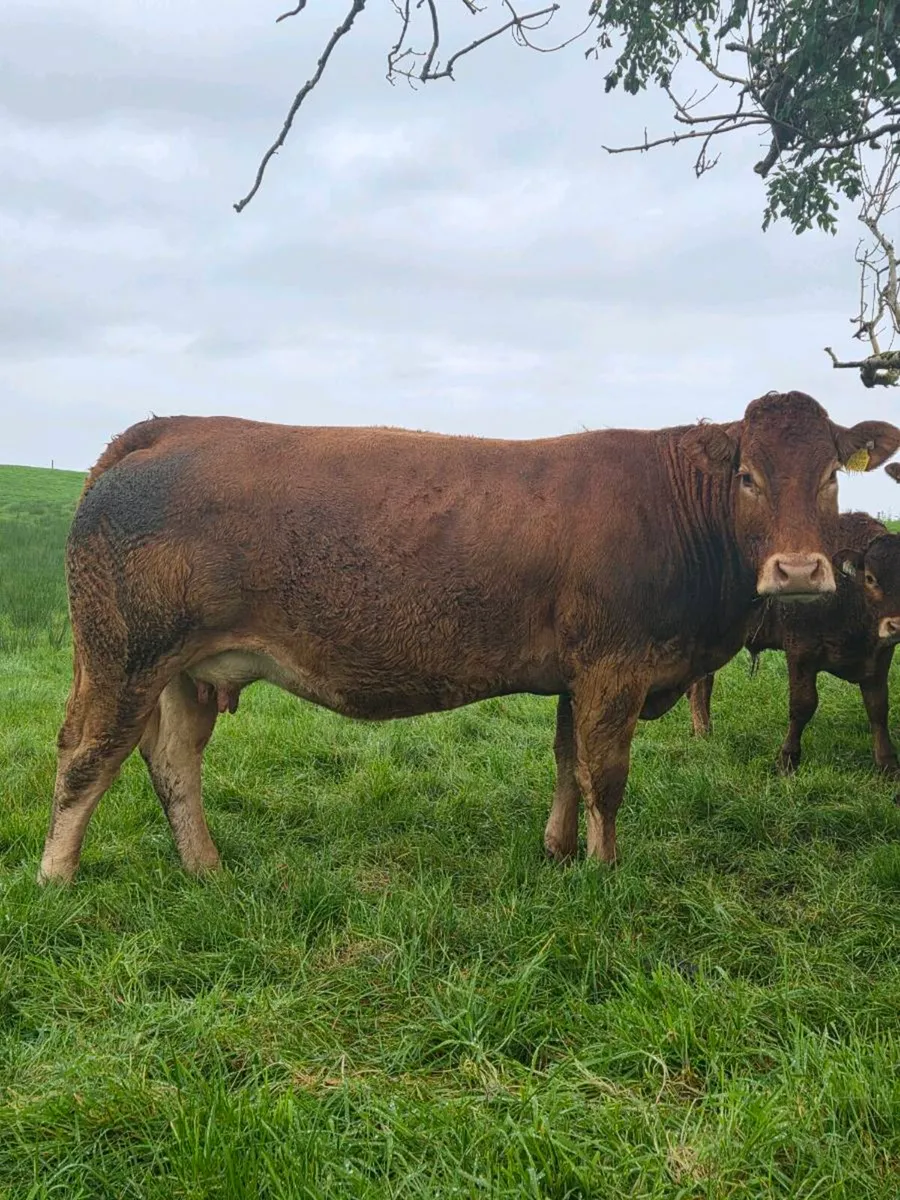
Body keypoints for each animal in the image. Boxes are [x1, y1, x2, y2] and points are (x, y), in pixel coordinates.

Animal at [688, 497, 900, 778]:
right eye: (870, 578)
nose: (896, 625)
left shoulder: (879, 657)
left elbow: (878, 708)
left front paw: (887, 763)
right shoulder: (801, 652)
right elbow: (802, 705)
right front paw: (787, 759)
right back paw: (703, 731)